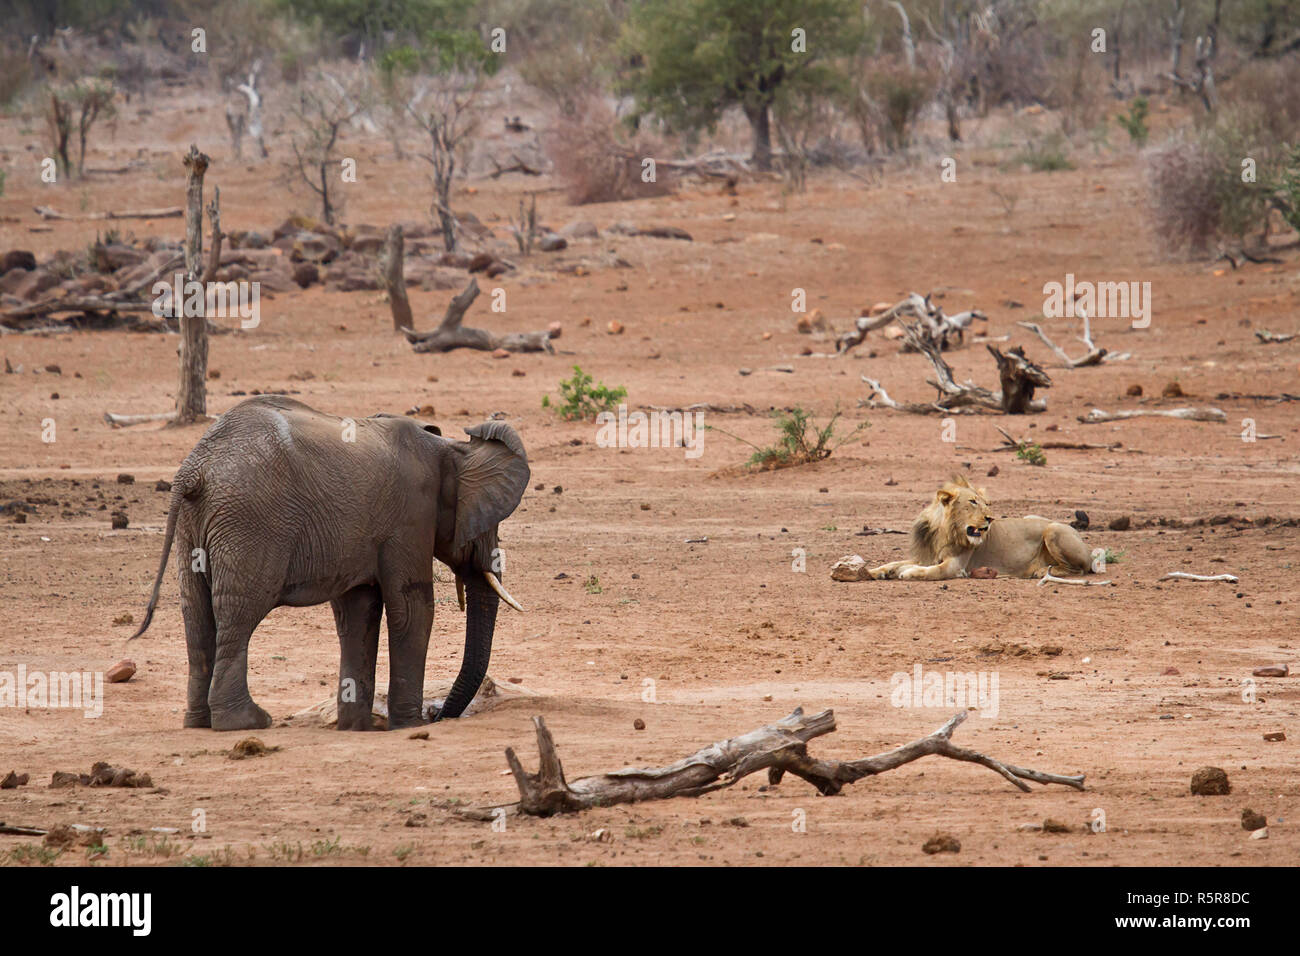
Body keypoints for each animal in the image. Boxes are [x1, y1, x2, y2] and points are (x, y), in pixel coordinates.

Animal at [124, 395, 525, 733]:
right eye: (490, 523)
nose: (437, 714)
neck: (450, 449)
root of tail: (195, 467)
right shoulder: (410, 518)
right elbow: (412, 608)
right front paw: (408, 726)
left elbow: (358, 614)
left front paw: (357, 728)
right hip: (250, 523)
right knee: (239, 614)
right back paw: (246, 723)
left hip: (193, 528)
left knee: (196, 614)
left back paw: (199, 723)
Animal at [868, 476, 1092, 580]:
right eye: (973, 502)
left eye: (986, 503)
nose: (990, 518)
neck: (945, 532)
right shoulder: (925, 556)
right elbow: (892, 563)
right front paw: (874, 572)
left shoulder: (956, 566)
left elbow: (932, 571)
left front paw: (908, 572)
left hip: (1053, 529)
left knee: (1078, 569)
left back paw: (1042, 571)